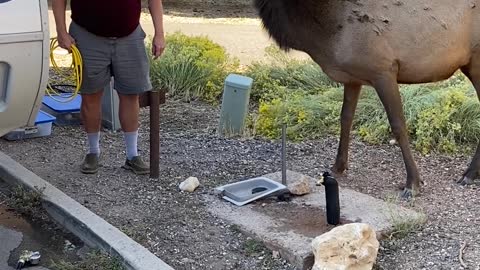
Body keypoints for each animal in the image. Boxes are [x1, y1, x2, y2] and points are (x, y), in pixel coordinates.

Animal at [255, 0, 480, 197]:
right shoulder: (352, 77)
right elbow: (345, 118)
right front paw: (338, 166)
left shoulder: (383, 70)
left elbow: (398, 125)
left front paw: (413, 183)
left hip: (475, 61)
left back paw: (468, 174)